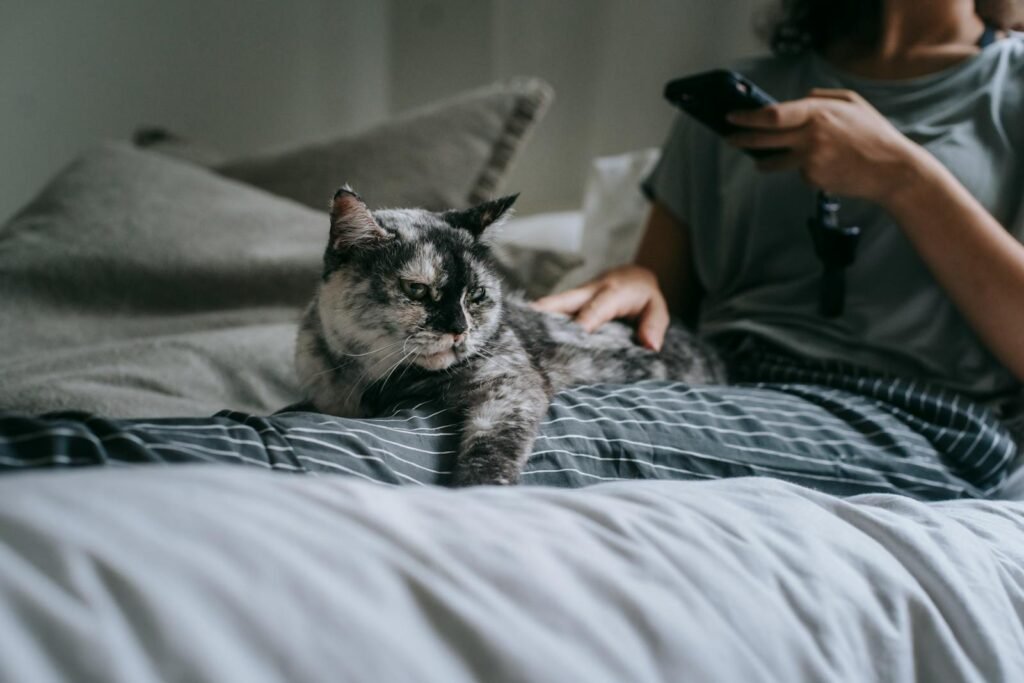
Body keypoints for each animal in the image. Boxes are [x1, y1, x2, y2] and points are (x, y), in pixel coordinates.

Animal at [296, 187, 729, 485]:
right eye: (417, 290)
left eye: (476, 295)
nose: (459, 330)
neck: (369, 380)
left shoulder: (509, 386)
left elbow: (491, 451)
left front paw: (478, 491)